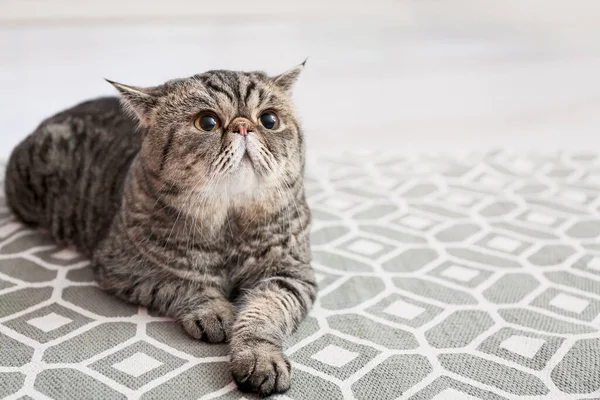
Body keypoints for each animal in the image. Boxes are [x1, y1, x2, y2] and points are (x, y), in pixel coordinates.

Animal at [3, 63, 318, 396]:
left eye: (269, 120)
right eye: (207, 122)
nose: (244, 126)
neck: (227, 222)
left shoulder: (290, 273)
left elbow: (264, 311)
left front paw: (259, 358)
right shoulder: (123, 267)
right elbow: (180, 283)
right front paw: (215, 312)